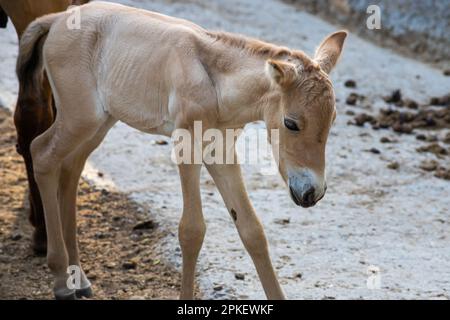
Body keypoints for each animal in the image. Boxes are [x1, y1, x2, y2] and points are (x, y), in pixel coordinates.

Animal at [18, 1, 348, 298]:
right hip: (80, 117)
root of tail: (56, 19)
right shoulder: (186, 146)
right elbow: (192, 230)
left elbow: (252, 230)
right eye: (291, 123)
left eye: (333, 119)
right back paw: (61, 280)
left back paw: (79, 278)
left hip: (99, 122)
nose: (312, 193)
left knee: (71, 167)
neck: (216, 83)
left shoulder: (221, 150)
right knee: (42, 153)